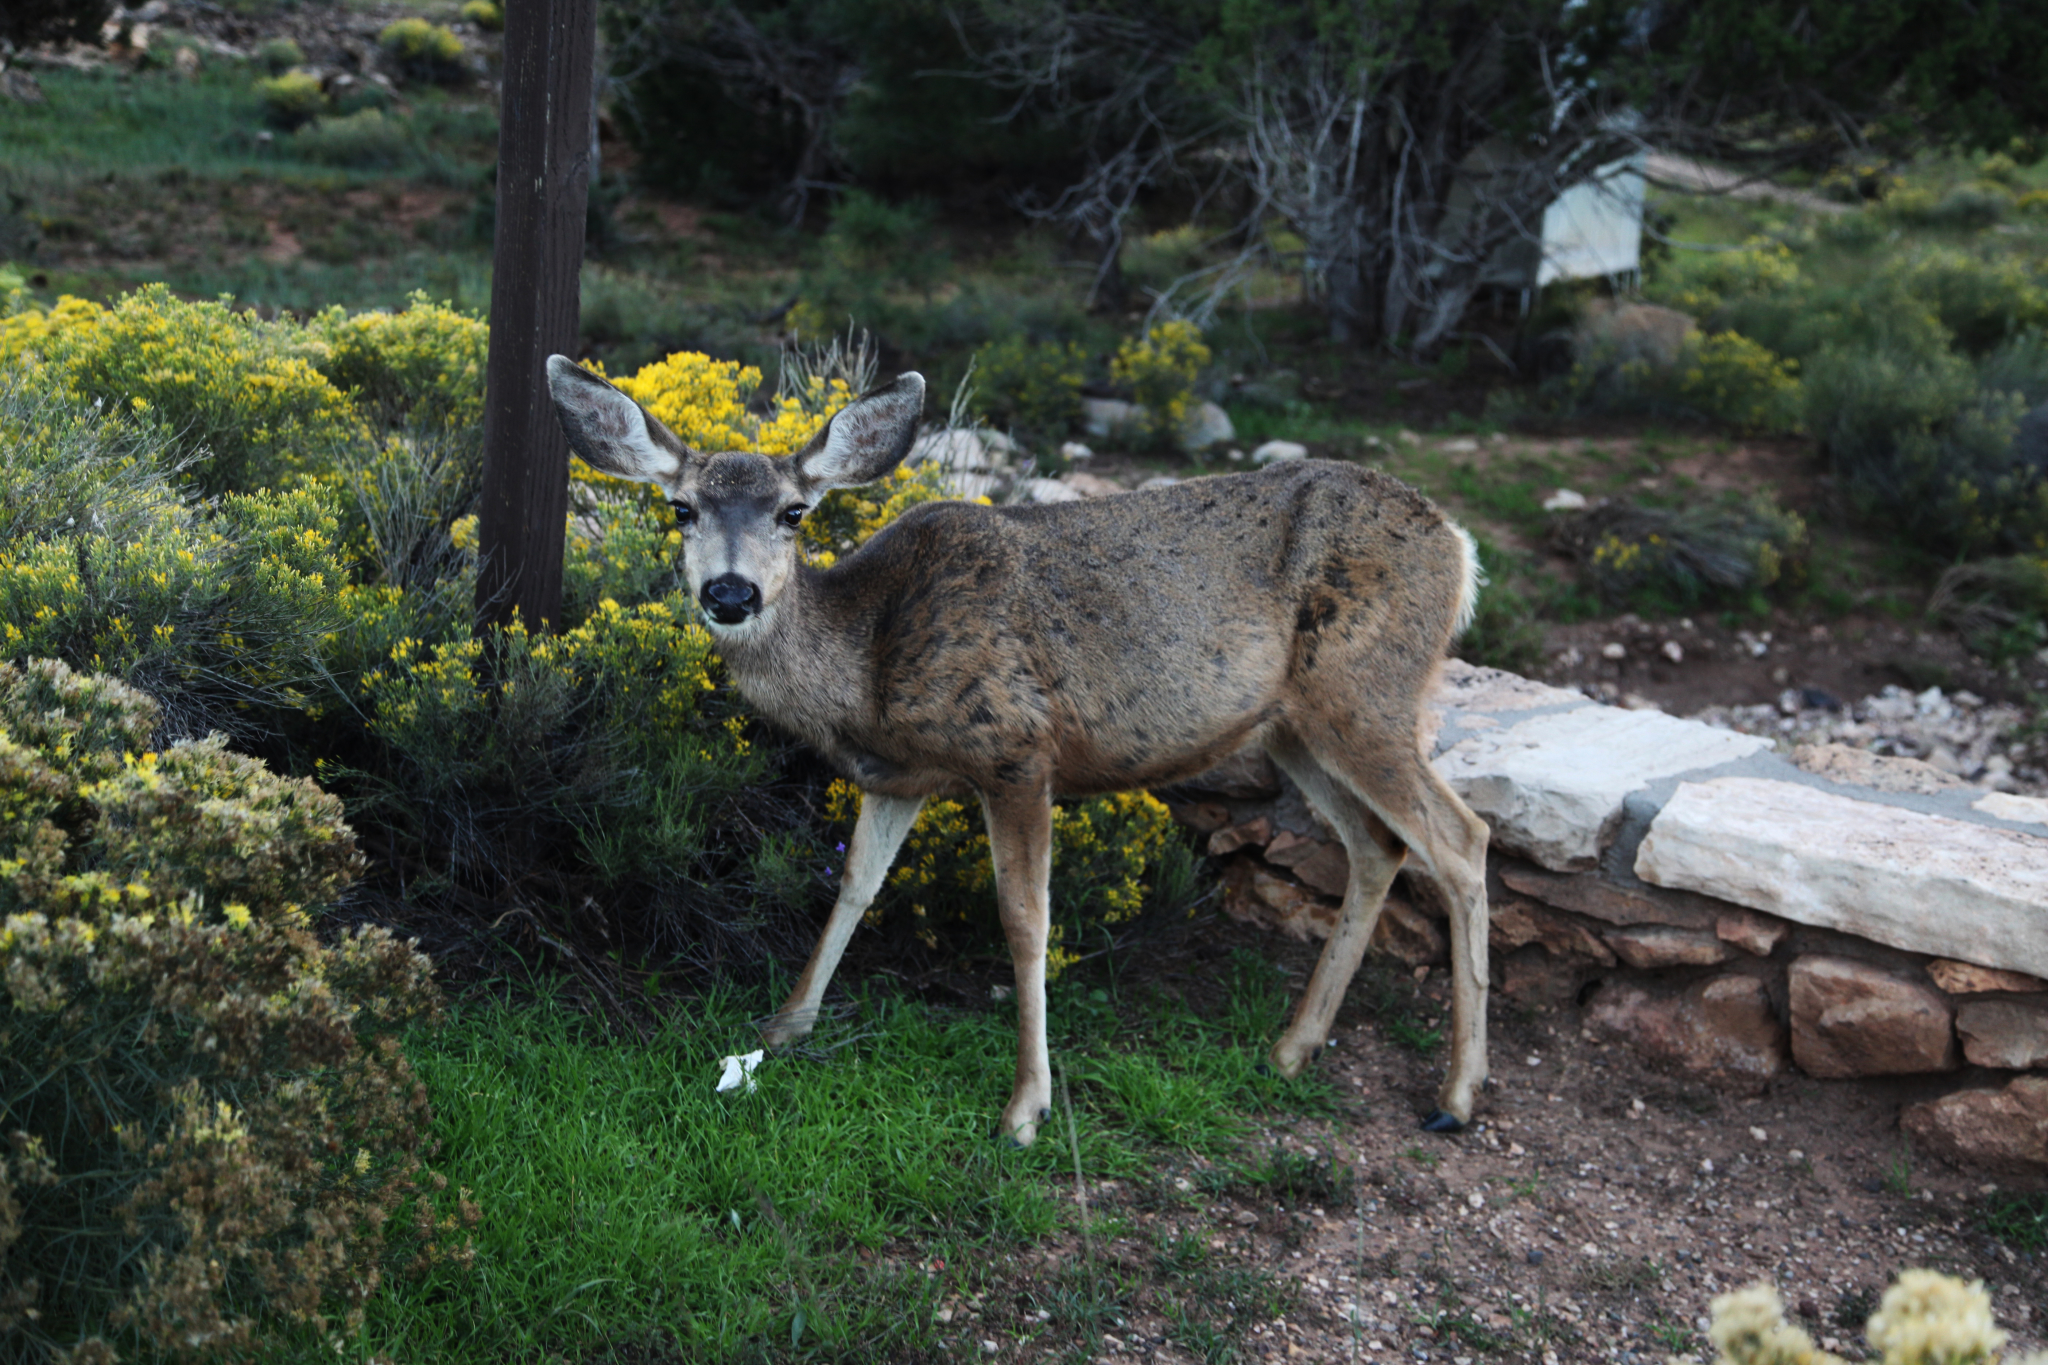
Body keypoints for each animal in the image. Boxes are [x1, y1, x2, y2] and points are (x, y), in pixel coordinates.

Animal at [552, 358, 1499, 1146]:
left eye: (794, 512)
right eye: (680, 508)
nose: (730, 591)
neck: (870, 662)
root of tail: (1458, 542)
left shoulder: (1015, 749)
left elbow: (1025, 918)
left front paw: (1025, 1108)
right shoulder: (899, 775)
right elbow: (855, 884)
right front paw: (785, 1024)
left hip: (1365, 691)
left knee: (1462, 839)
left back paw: (1456, 1094)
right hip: (1293, 726)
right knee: (1377, 845)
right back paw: (1294, 1046)